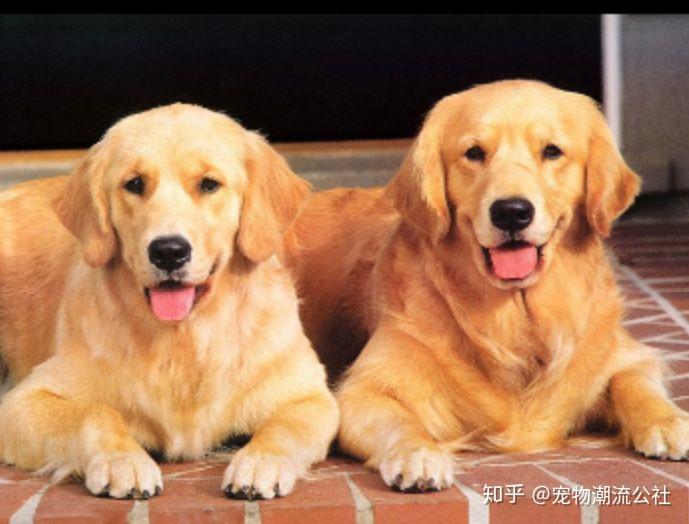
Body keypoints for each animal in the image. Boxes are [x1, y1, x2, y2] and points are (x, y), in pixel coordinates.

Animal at [0, 103, 338, 500]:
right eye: (134, 183)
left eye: (209, 184)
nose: (168, 251)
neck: (184, 339)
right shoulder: (24, 402)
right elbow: (96, 414)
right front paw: (123, 461)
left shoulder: (310, 395)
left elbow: (283, 427)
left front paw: (259, 462)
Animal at [284, 80, 689, 492]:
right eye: (474, 153)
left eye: (552, 151)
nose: (511, 212)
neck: (515, 322)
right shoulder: (363, 389)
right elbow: (399, 421)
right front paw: (419, 454)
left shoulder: (621, 354)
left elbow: (634, 382)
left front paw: (669, 422)